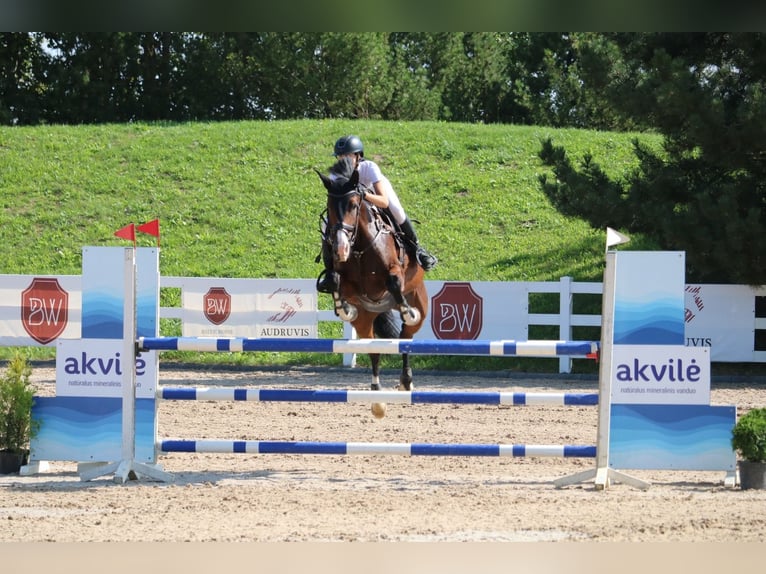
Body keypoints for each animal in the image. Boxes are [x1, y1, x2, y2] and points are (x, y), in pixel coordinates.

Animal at [316, 158, 428, 418]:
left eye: (354, 205)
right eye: (329, 206)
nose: (340, 248)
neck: (359, 247)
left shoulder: (395, 272)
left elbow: (394, 282)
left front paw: (408, 311)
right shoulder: (347, 283)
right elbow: (335, 281)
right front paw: (344, 309)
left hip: (419, 303)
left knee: (406, 337)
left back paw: (406, 381)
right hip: (366, 319)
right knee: (374, 349)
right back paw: (377, 399)